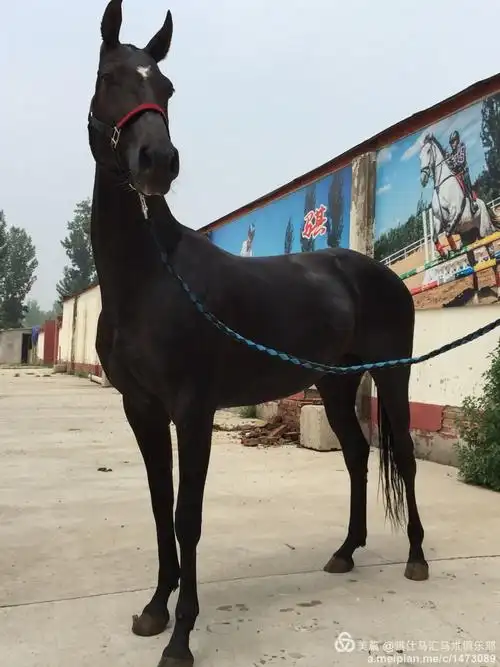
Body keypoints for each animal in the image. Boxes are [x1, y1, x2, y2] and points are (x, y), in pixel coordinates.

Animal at [87, 2, 428, 665]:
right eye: (110, 78)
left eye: (166, 87)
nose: (157, 162)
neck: (149, 279)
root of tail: (380, 272)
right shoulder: (141, 408)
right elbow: (159, 506)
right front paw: (154, 610)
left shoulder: (192, 411)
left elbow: (187, 517)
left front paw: (182, 638)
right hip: (336, 384)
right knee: (356, 455)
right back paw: (345, 552)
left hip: (392, 375)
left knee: (399, 453)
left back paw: (417, 558)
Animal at [419, 132, 500, 303]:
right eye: (419, 156)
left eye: (428, 152)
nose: (423, 179)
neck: (442, 185)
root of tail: (484, 204)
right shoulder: (438, 219)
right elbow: (435, 236)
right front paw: (444, 253)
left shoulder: (456, 211)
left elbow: (449, 230)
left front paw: (453, 248)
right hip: (469, 239)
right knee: (473, 264)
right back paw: (475, 297)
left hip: (485, 234)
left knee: (493, 260)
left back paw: (498, 291)